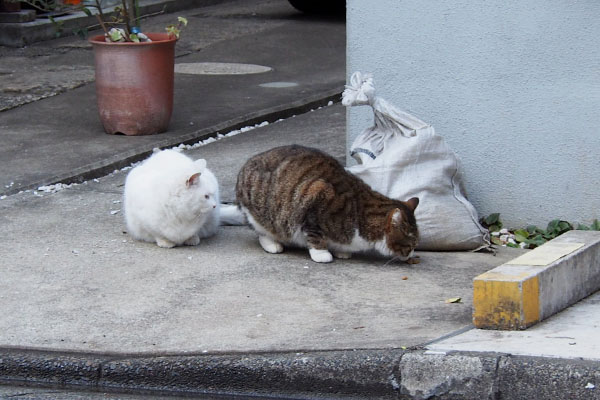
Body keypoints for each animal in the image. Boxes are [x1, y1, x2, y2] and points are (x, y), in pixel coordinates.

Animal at [236, 145, 422, 264]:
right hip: (260, 213)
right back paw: (273, 244)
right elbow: (314, 235)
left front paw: (342, 251)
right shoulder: (315, 198)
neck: (360, 214)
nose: (413, 253)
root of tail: (247, 164)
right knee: (262, 232)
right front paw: (321, 253)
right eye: (411, 245)